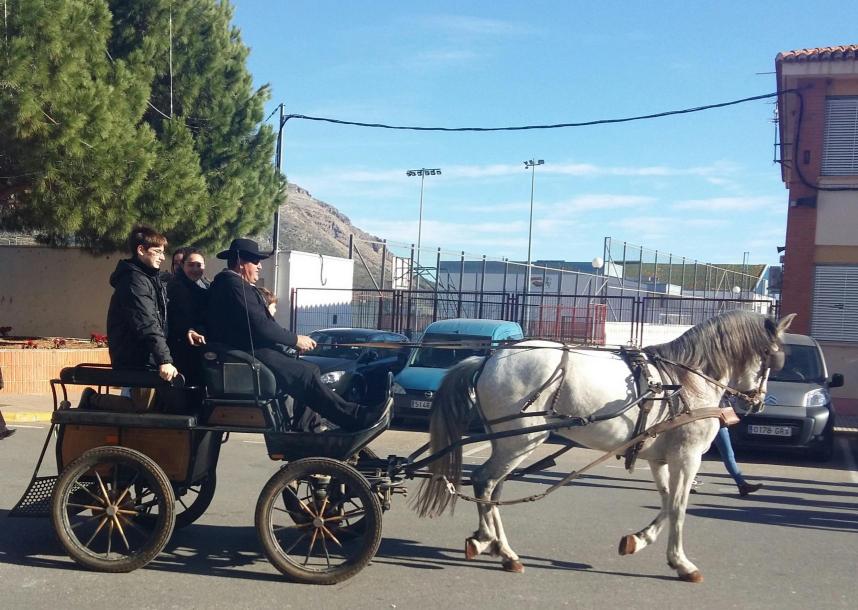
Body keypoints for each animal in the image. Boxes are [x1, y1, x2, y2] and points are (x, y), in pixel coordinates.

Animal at [413, 310, 794, 583]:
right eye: (773, 358)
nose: (758, 402)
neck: (685, 381)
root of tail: (488, 360)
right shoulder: (687, 457)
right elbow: (679, 507)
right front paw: (682, 563)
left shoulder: (659, 458)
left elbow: (666, 503)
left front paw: (639, 540)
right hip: (521, 439)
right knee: (485, 482)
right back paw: (502, 550)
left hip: (509, 442)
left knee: (492, 488)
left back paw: (488, 541)